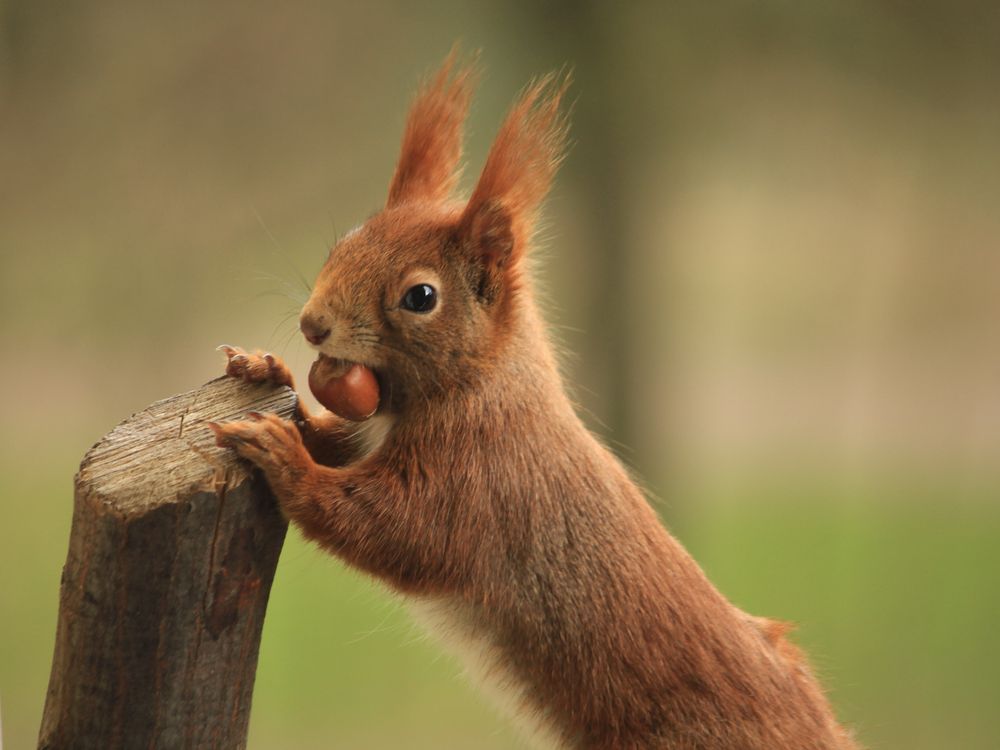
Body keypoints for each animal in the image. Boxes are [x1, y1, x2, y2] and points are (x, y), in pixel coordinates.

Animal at [209, 57, 860, 750]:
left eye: (420, 297)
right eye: (344, 243)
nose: (312, 325)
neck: (477, 386)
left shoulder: (480, 479)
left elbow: (394, 531)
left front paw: (282, 455)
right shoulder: (372, 432)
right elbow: (331, 437)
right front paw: (264, 369)